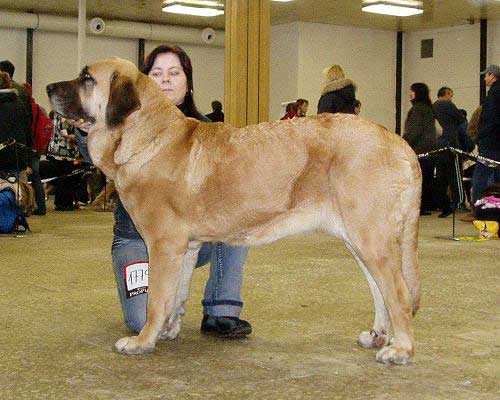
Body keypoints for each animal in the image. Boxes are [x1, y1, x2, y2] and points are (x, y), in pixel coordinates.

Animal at [47, 57, 422, 366]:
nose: (48, 87)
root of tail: (398, 142)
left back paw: (400, 349)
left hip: (371, 239)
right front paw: (167, 331)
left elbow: (155, 300)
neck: (145, 135)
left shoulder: (164, 246)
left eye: (86, 78)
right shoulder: (185, 248)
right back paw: (378, 336)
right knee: (380, 291)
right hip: (359, 240)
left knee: (398, 293)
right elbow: (175, 296)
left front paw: (142, 341)